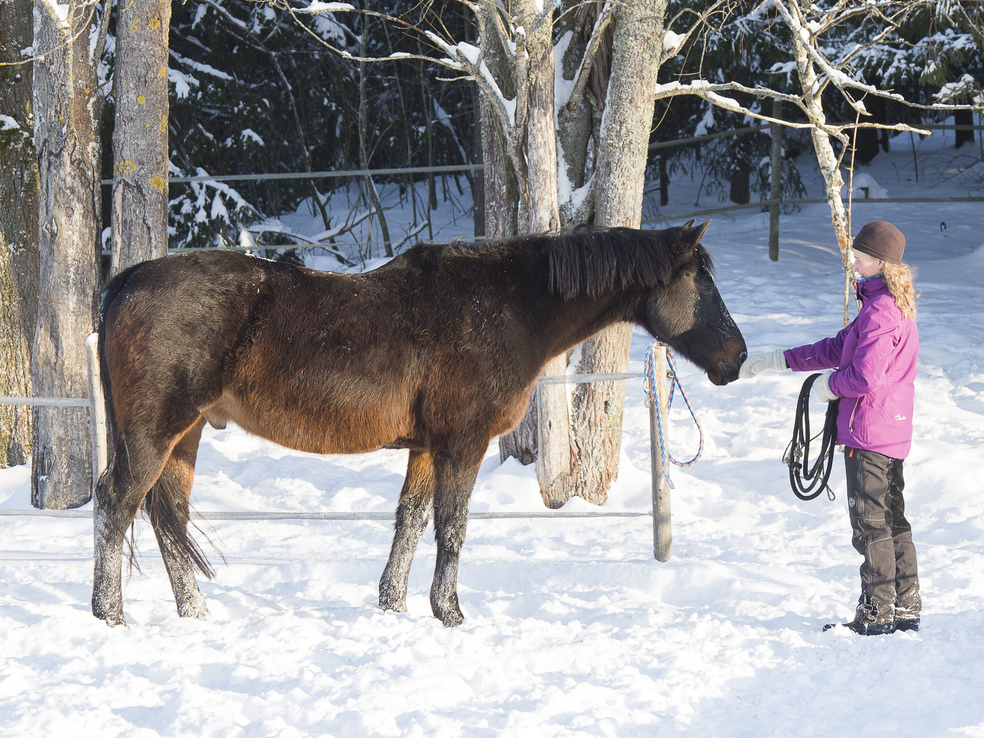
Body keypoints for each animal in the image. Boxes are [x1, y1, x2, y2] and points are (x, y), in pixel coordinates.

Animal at [90, 221, 744, 624]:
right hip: (154, 435)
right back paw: (110, 615)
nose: (735, 358)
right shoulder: (464, 443)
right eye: (702, 281)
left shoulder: (428, 447)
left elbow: (410, 520)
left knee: (166, 515)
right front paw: (449, 612)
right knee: (116, 505)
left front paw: (394, 606)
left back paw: (195, 615)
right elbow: (452, 528)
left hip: (186, 435)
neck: (507, 307)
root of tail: (124, 282)